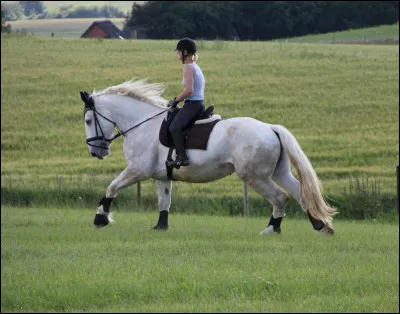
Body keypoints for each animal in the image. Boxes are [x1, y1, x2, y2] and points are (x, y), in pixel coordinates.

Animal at [81, 78, 338, 236]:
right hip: (279, 171)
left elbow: (111, 187)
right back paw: (320, 225)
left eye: (88, 120)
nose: (96, 152)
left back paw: (271, 230)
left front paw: (100, 218)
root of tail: (270, 128)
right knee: (299, 193)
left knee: (280, 197)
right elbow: (164, 203)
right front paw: (160, 227)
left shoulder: (137, 170)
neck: (142, 124)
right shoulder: (162, 176)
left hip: (255, 177)